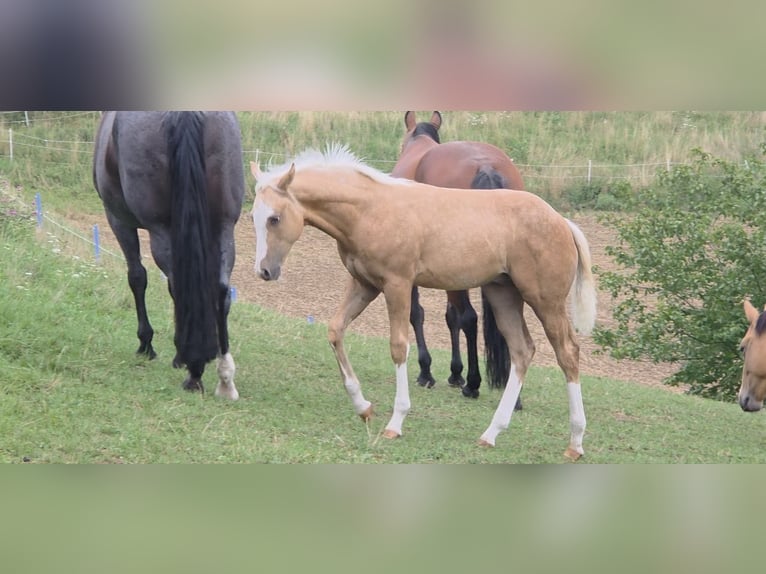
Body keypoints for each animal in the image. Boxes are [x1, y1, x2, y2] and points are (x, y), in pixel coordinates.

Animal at [93, 111, 244, 398]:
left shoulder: (118, 220)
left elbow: (137, 277)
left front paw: (147, 345)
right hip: (224, 225)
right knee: (221, 290)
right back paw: (224, 377)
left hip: (160, 229)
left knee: (177, 283)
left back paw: (194, 372)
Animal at [250, 144, 597, 460]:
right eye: (254, 216)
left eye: (275, 218)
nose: (265, 271)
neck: (369, 211)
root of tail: (562, 221)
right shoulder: (365, 285)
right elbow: (335, 330)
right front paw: (363, 407)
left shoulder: (398, 285)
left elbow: (398, 346)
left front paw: (396, 422)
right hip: (503, 296)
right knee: (523, 351)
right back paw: (491, 433)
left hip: (545, 300)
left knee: (567, 353)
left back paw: (576, 442)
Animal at [391, 111, 526, 405]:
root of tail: (486, 167)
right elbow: (449, 316)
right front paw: (455, 372)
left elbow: (416, 313)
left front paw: (427, 371)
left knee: (469, 317)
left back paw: (474, 383)